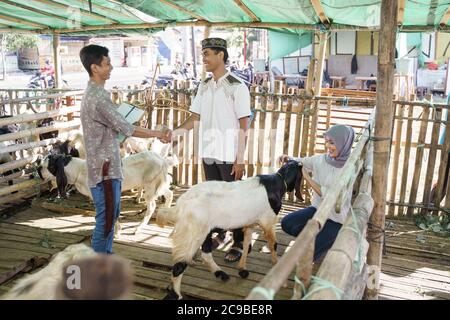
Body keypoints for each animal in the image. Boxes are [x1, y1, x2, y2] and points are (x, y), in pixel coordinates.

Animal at [38, 150, 176, 235]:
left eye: (49, 166)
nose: (38, 170)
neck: (79, 170)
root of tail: (163, 160)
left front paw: (116, 232)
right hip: (158, 184)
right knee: (169, 194)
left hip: (150, 186)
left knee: (152, 206)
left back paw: (139, 228)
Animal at [156, 161, 304, 298]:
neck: (277, 183)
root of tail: (180, 206)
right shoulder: (268, 221)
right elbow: (273, 245)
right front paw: (282, 278)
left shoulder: (250, 224)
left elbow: (246, 244)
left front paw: (242, 269)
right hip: (193, 233)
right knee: (179, 265)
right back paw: (176, 295)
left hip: (204, 231)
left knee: (205, 255)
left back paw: (221, 274)